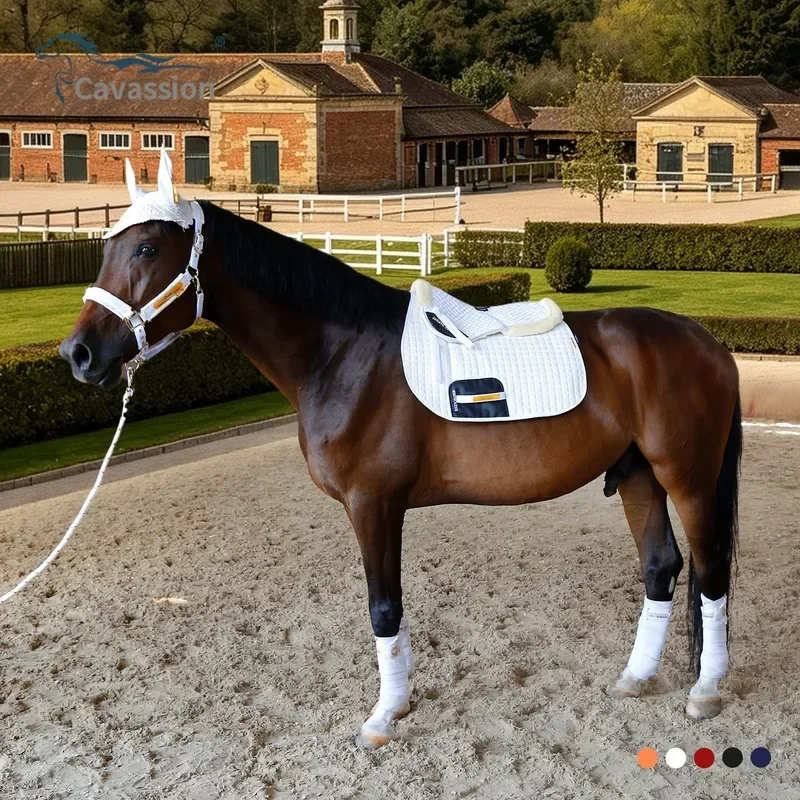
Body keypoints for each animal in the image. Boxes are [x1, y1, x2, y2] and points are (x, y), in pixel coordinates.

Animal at [61, 195, 741, 750]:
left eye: (147, 248)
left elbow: (383, 608)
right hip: (638, 475)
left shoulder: (373, 504)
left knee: (710, 571)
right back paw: (636, 677)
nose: (78, 353)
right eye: (108, 247)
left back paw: (705, 691)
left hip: (687, 478)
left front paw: (384, 718)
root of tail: (705, 340)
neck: (341, 352)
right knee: (661, 566)